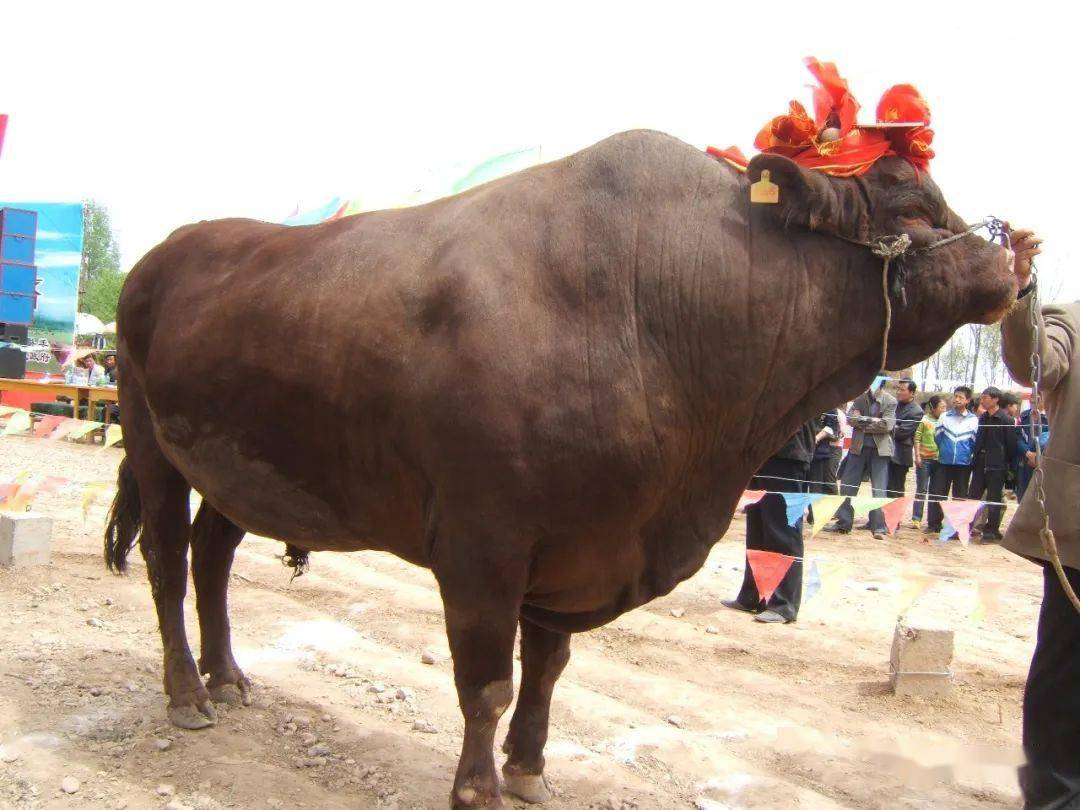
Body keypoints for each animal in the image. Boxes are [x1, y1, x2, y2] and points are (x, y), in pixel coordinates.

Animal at [103, 130, 1010, 807]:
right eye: (908, 199)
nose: (1012, 258)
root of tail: (167, 251)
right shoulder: (483, 545)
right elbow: (487, 682)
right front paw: (476, 787)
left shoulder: (576, 542)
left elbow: (546, 670)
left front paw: (530, 770)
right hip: (151, 443)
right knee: (168, 561)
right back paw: (186, 694)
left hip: (235, 467)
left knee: (213, 557)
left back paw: (228, 676)